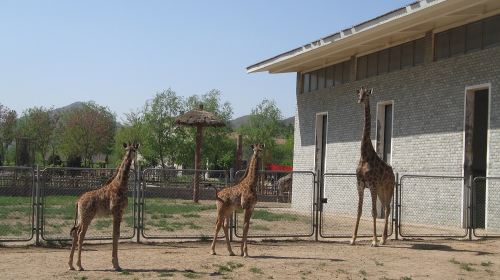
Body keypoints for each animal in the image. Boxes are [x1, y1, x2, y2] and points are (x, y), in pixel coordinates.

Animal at [68, 142, 139, 272]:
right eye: (127, 149)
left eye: (134, 150)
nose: (130, 156)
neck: (120, 185)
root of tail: (78, 201)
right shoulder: (117, 212)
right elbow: (115, 235)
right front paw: (116, 265)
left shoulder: (120, 213)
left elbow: (116, 234)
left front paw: (116, 264)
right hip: (87, 217)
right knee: (81, 234)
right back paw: (80, 265)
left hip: (81, 217)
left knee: (75, 233)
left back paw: (71, 265)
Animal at [352, 88, 394, 247]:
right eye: (359, 93)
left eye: (367, 94)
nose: (360, 100)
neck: (364, 155)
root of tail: (393, 173)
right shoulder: (360, 184)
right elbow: (359, 210)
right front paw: (353, 238)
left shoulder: (372, 184)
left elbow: (374, 211)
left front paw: (374, 240)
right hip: (381, 190)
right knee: (387, 208)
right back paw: (384, 238)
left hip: (388, 188)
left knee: (387, 208)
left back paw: (382, 239)